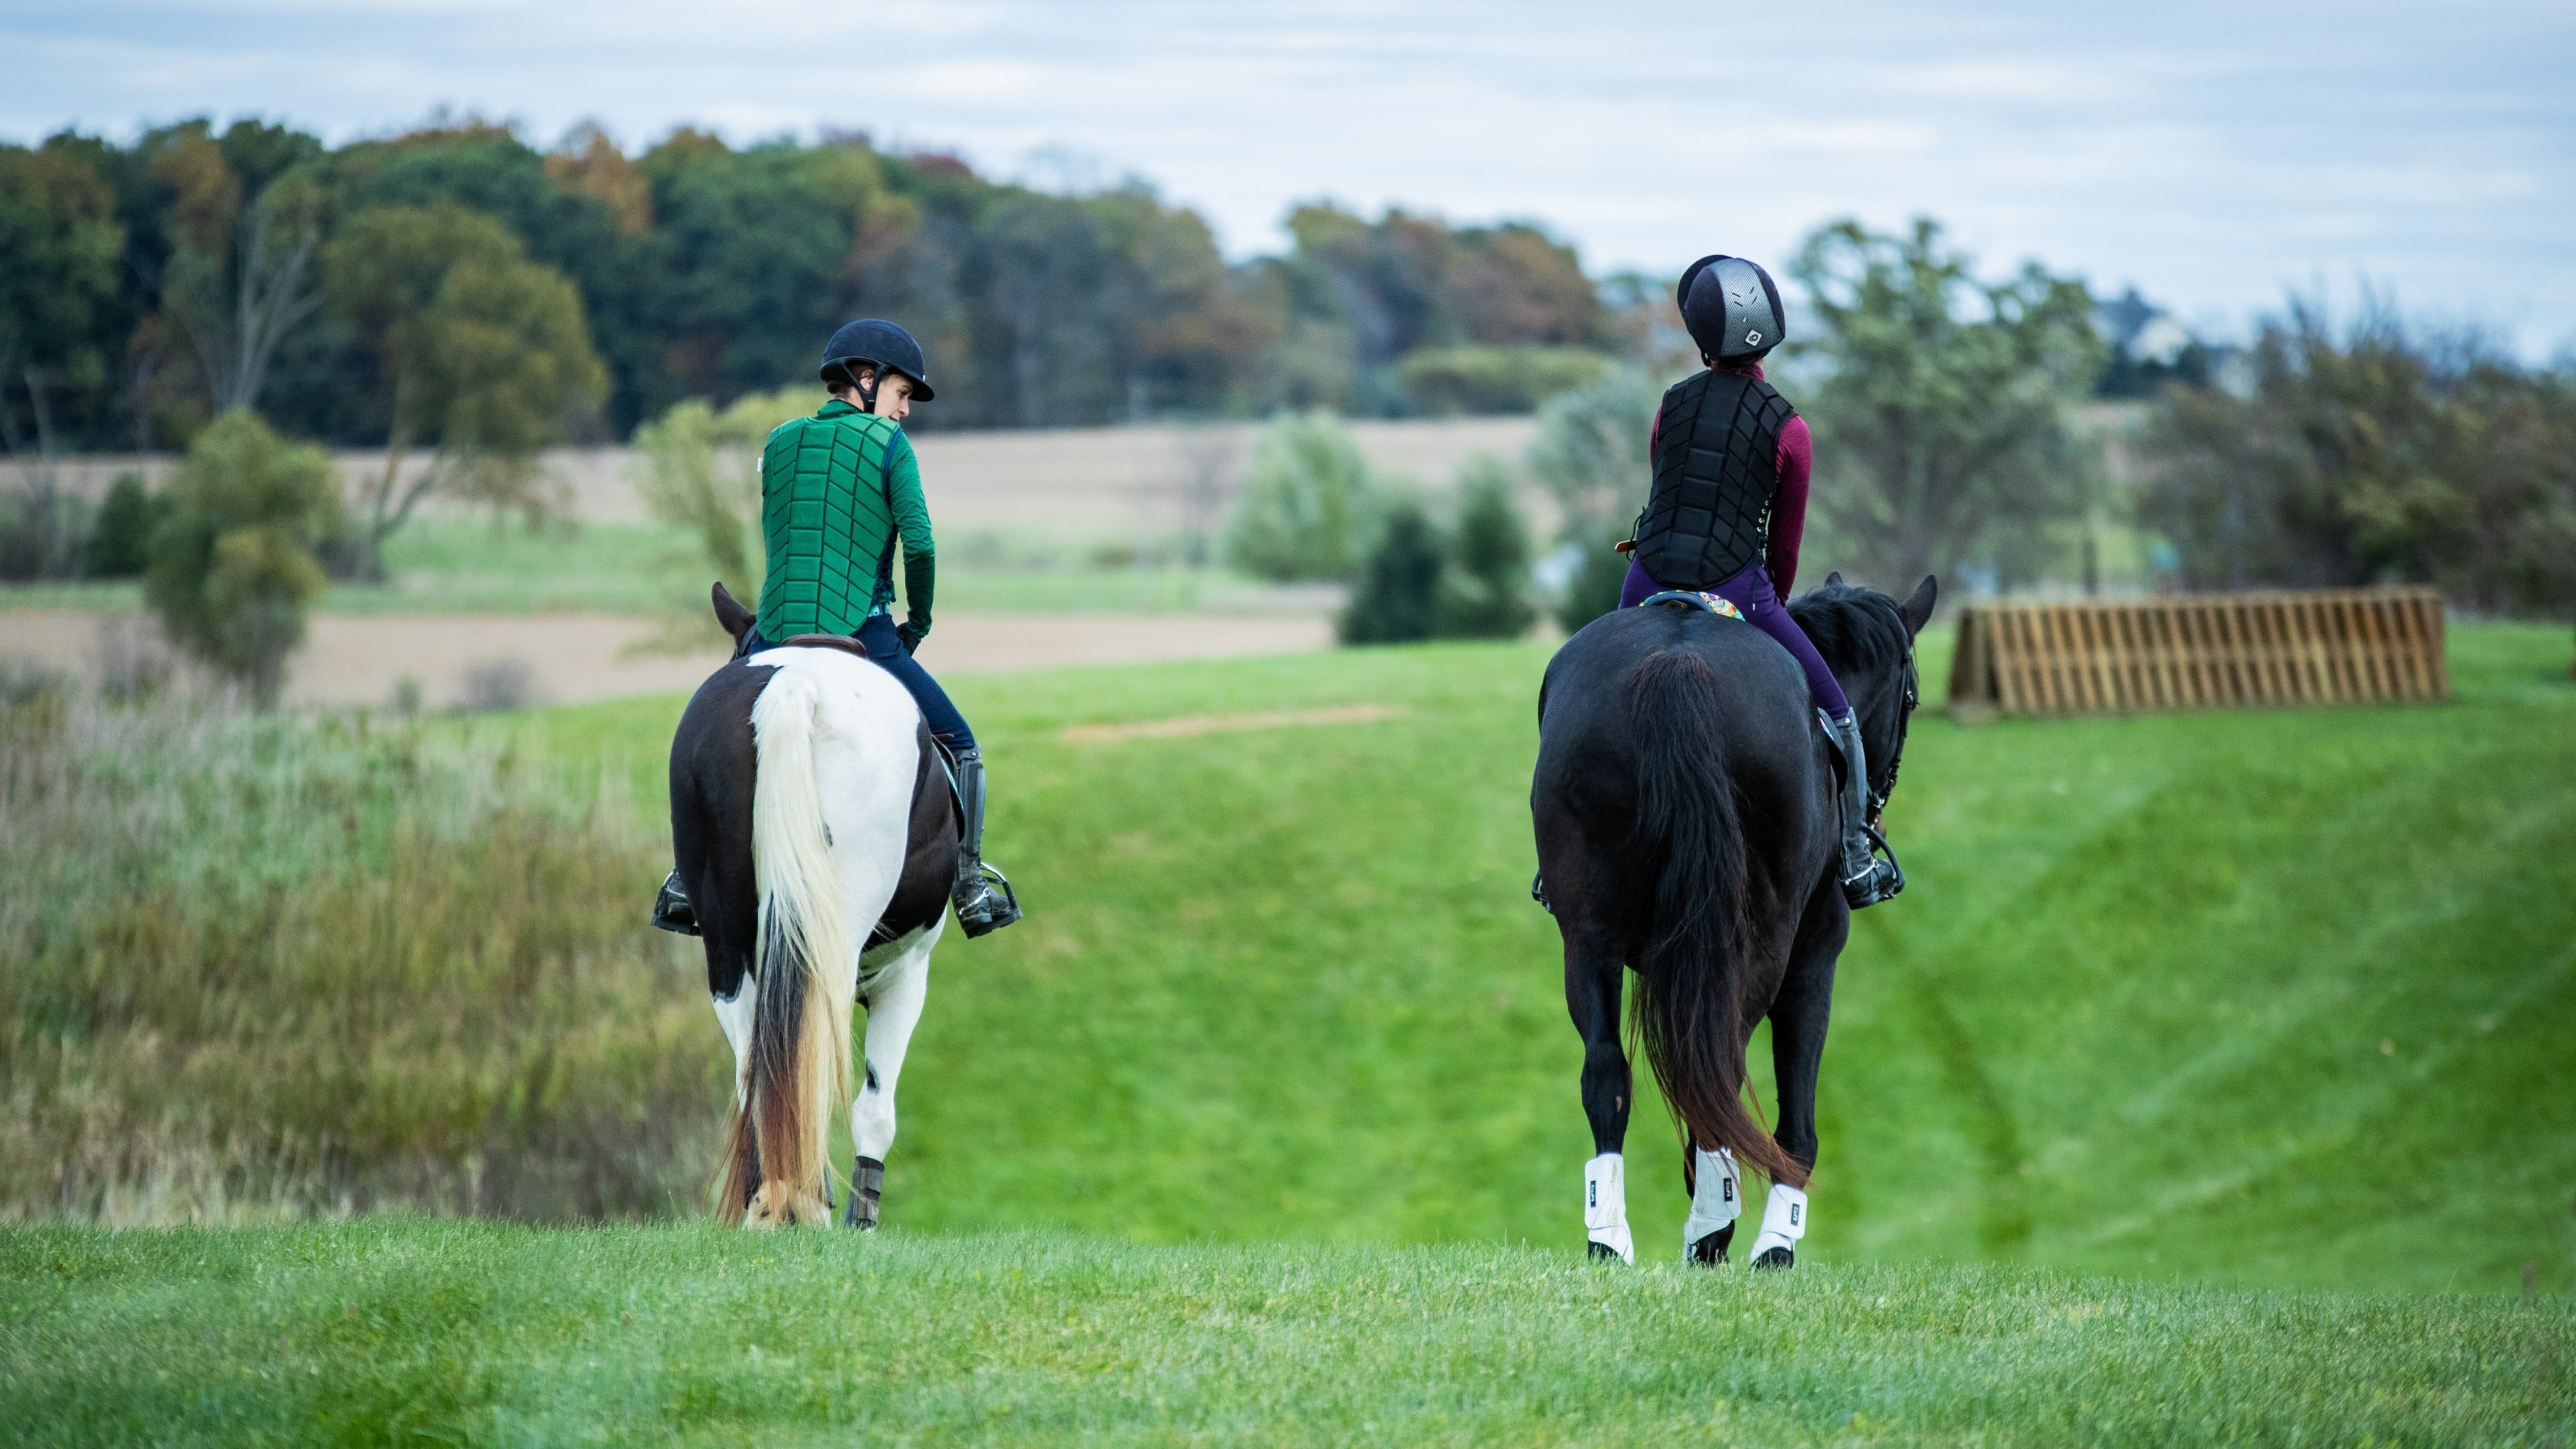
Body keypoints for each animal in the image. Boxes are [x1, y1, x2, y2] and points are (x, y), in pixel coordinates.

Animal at [1525, 573, 1937, 1266]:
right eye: (1909, 699)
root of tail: (1676, 665)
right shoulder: (1813, 963)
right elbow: (1795, 1117)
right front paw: (1774, 1244)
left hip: (1588, 937)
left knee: (1608, 1070)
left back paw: (1610, 1237)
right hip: (1758, 948)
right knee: (1717, 1067)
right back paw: (1713, 1231)